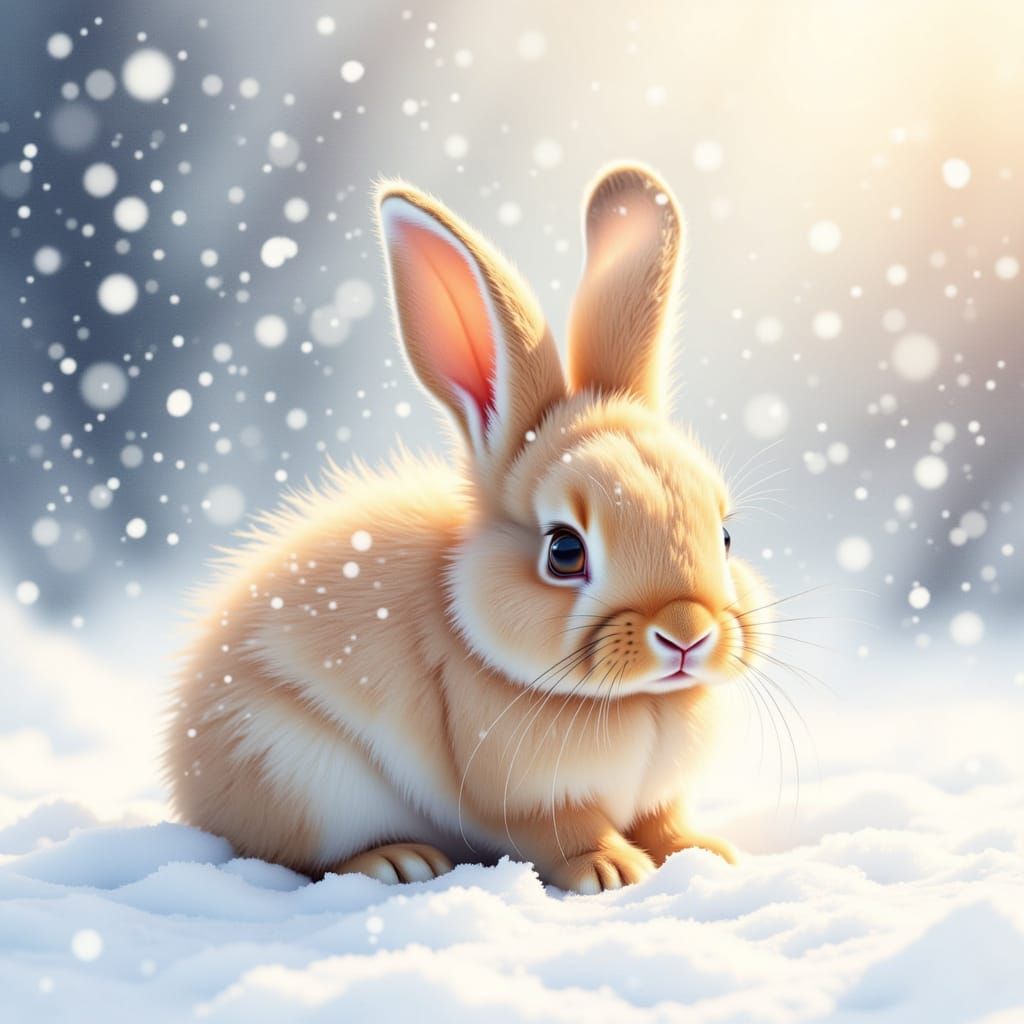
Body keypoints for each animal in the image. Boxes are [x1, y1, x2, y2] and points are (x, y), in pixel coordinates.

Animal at [164, 162, 774, 894]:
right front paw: (612, 871)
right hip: (293, 771)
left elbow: (664, 820)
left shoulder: (660, 794)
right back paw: (396, 861)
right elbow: (566, 830)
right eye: (564, 551)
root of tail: (188, 778)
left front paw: (703, 853)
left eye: (726, 536)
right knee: (299, 853)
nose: (687, 632)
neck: (641, 701)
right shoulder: (528, 795)